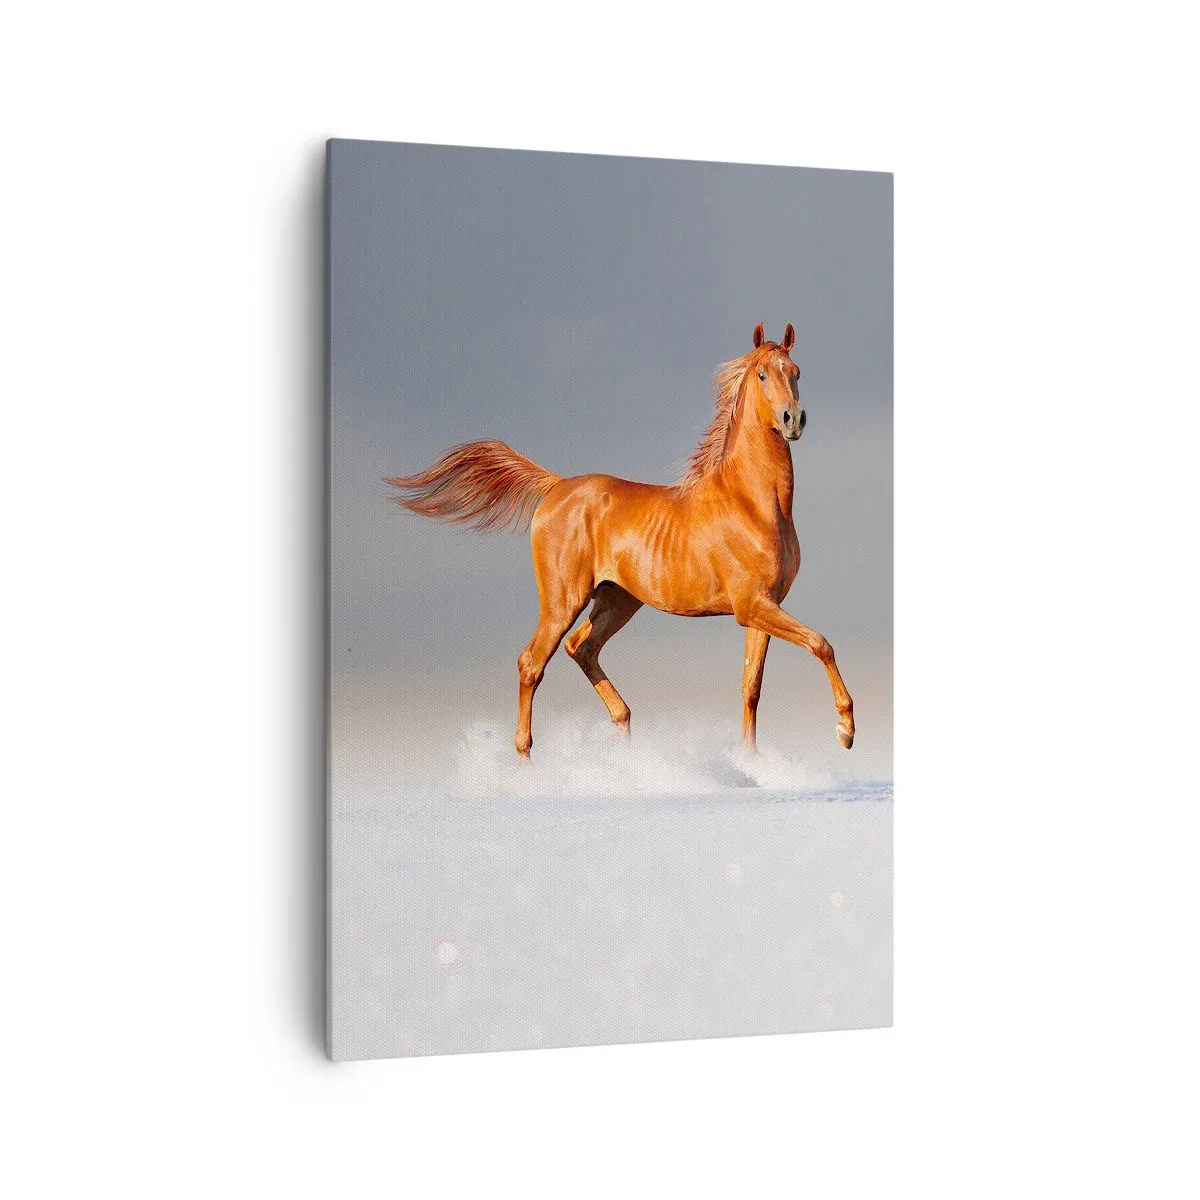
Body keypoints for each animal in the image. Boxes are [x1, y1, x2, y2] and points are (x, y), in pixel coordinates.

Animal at [385, 323, 855, 761]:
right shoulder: (751, 606)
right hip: (564, 599)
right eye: (761, 374)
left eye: (796, 371)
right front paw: (846, 730)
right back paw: (527, 759)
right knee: (532, 663)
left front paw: (751, 762)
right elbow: (821, 643)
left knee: (582, 648)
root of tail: (557, 487)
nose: (794, 419)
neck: (753, 503)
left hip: (616, 599)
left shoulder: (764, 606)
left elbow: (751, 687)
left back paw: (624, 735)